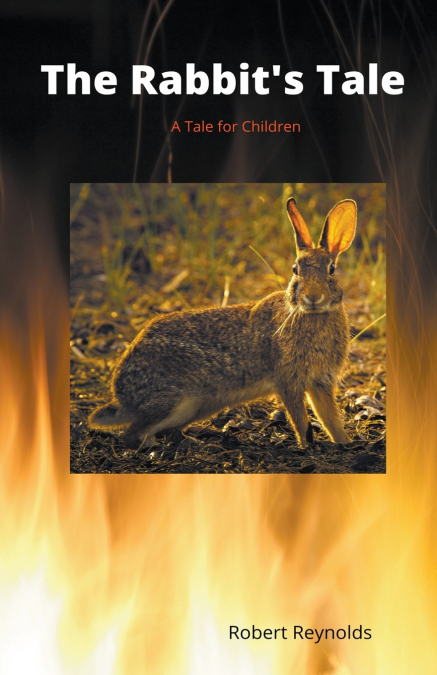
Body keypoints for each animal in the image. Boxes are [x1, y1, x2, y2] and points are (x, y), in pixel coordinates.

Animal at [89, 197, 357, 448]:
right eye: (295, 270)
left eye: (331, 270)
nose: (312, 297)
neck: (312, 315)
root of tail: (123, 397)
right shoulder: (289, 381)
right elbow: (301, 421)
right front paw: (308, 446)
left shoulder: (321, 382)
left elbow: (330, 418)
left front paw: (345, 443)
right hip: (174, 401)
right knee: (131, 434)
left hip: (198, 406)